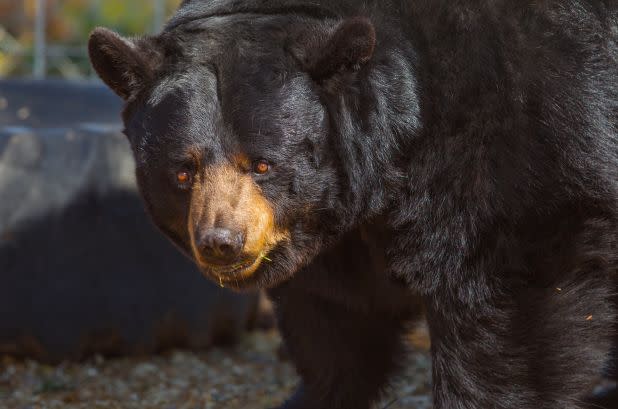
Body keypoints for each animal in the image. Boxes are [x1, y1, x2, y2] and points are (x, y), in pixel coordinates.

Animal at [88, 0, 616, 406]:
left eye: (263, 164)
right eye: (183, 170)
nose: (222, 241)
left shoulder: (521, 145)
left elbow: (510, 305)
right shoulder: (330, 231)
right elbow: (335, 319)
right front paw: (314, 394)